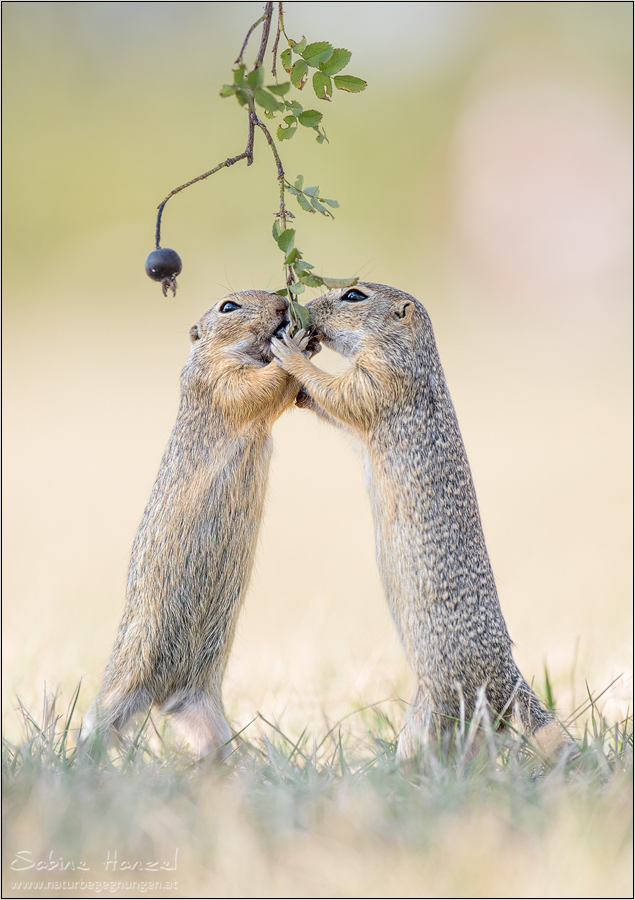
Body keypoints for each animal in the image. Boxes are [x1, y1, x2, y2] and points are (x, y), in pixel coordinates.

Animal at [80, 292, 312, 756]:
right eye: (228, 306)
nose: (282, 304)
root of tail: (160, 696)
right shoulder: (217, 380)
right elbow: (258, 388)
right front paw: (294, 343)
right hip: (124, 675)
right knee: (95, 722)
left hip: (200, 704)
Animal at [270, 284, 556, 756]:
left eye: (354, 295)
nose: (306, 309)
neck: (413, 355)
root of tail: (509, 677)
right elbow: (335, 408)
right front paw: (301, 385)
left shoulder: (382, 380)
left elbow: (343, 396)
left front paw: (292, 355)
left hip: (432, 705)